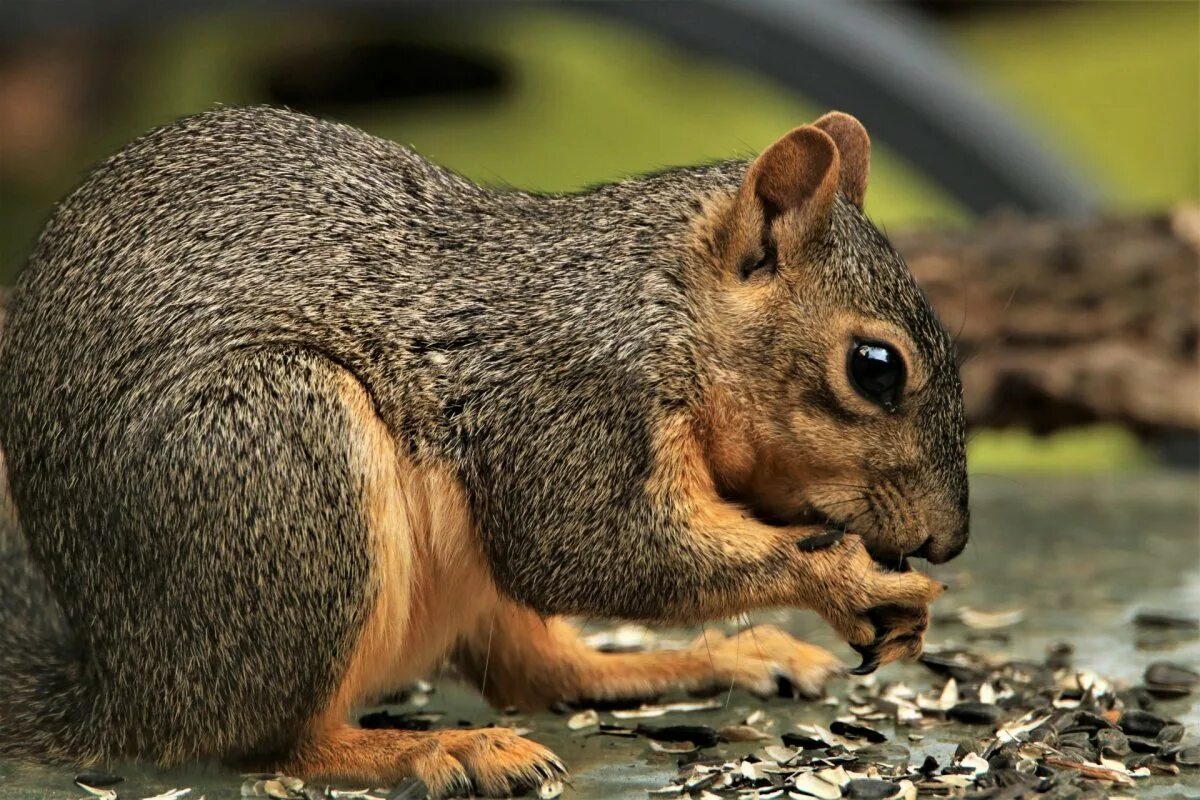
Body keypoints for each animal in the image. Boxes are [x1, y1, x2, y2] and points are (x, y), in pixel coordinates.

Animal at [0, 106, 964, 796]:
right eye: (875, 368)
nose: (949, 541)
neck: (667, 308)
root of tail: (124, 685)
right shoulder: (570, 406)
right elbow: (591, 551)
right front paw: (845, 579)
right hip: (284, 460)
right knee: (268, 743)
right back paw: (436, 753)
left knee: (546, 671)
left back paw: (709, 658)